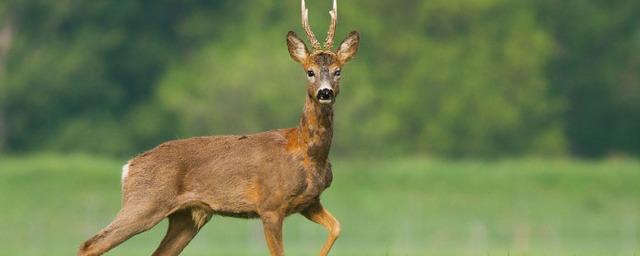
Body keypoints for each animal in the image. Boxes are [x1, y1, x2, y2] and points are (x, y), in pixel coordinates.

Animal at [77, 0, 360, 256]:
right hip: (145, 201)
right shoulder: (270, 205)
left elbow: (337, 227)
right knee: (90, 244)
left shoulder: (309, 202)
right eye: (309, 71)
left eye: (338, 71)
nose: (325, 93)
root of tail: (129, 167)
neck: (305, 153)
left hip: (187, 217)